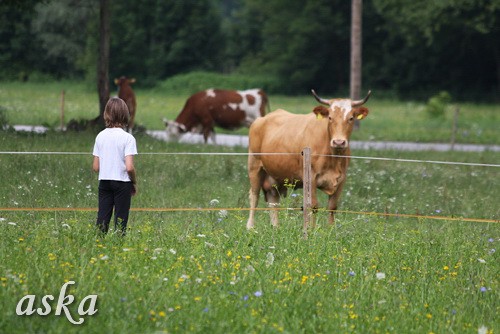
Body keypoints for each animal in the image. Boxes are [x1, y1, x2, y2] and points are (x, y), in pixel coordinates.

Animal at [246, 88, 372, 230]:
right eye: (330, 117)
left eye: (351, 118)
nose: (339, 142)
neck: (333, 157)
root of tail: (262, 119)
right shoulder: (311, 177)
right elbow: (313, 205)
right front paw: (311, 229)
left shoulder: (342, 179)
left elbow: (332, 207)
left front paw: (331, 230)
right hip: (254, 166)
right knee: (254, 196)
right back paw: (250, 226)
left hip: (275, 175)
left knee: (273, 201)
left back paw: (275, 227)